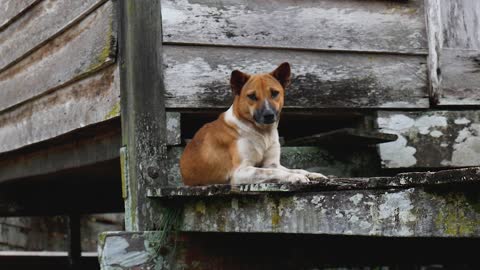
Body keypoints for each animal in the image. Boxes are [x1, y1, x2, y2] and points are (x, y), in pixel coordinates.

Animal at [179, 63, 326, 186]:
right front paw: (294, 177)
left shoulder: (271, 163)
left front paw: (311, 174)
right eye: (252, 96)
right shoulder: (240, 172)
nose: (268, 115)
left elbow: (295, 169)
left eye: (275, 93)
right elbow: (273, 172)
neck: (263, 133)